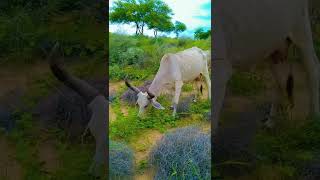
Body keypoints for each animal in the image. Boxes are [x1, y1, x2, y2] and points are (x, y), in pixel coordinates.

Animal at [212, 0, 320, 132]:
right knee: (279, 83)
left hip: (302, 31)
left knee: (313, 69)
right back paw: (270, 122)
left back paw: (314, 118)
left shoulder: (219, 70)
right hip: (274, 47)